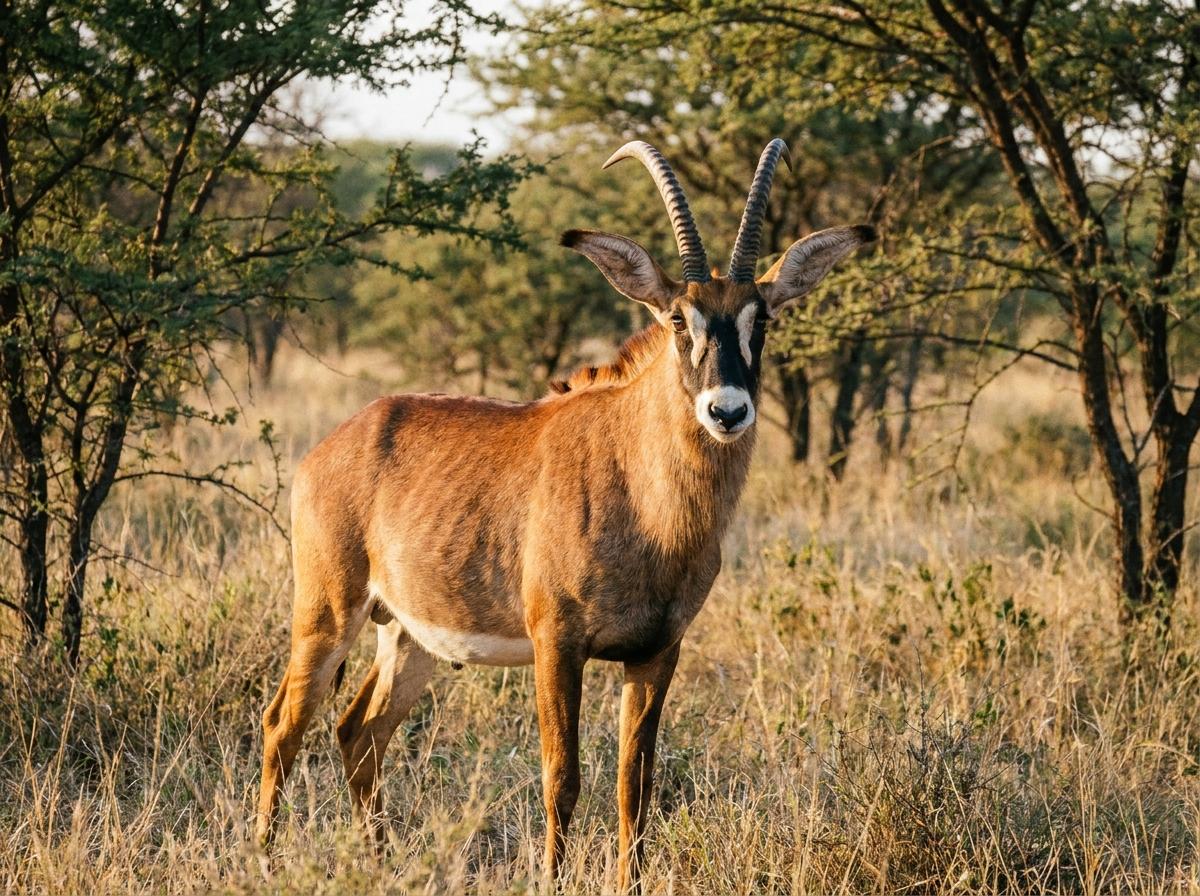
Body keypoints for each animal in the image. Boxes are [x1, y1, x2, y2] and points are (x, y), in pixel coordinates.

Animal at [256, 138, 875, 891]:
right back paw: (262, 859)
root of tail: (335, 444)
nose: (726, 410)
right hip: (327, 615)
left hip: (410, 638)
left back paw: (376, 862)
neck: (645, 499)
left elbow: (633, 786)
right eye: (679, 318)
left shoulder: (656, 653)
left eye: (765, 318)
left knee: (357, 732)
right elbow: (562, 777)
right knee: (283, 725)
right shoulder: (558, 643)